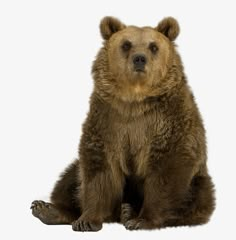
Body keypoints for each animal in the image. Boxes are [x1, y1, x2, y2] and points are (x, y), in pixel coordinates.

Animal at [30, 16, 216, 231]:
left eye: (153, 46)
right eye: (126, 44)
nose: (139, 58)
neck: (134, 99)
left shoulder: (168, 120)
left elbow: (167, 169)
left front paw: (142, 220)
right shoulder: (108, 120)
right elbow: (99, 169)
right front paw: (87, 220)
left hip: (198, 181)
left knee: (198, 197)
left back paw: (129, 212)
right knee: (69, 179)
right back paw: (47, 209)